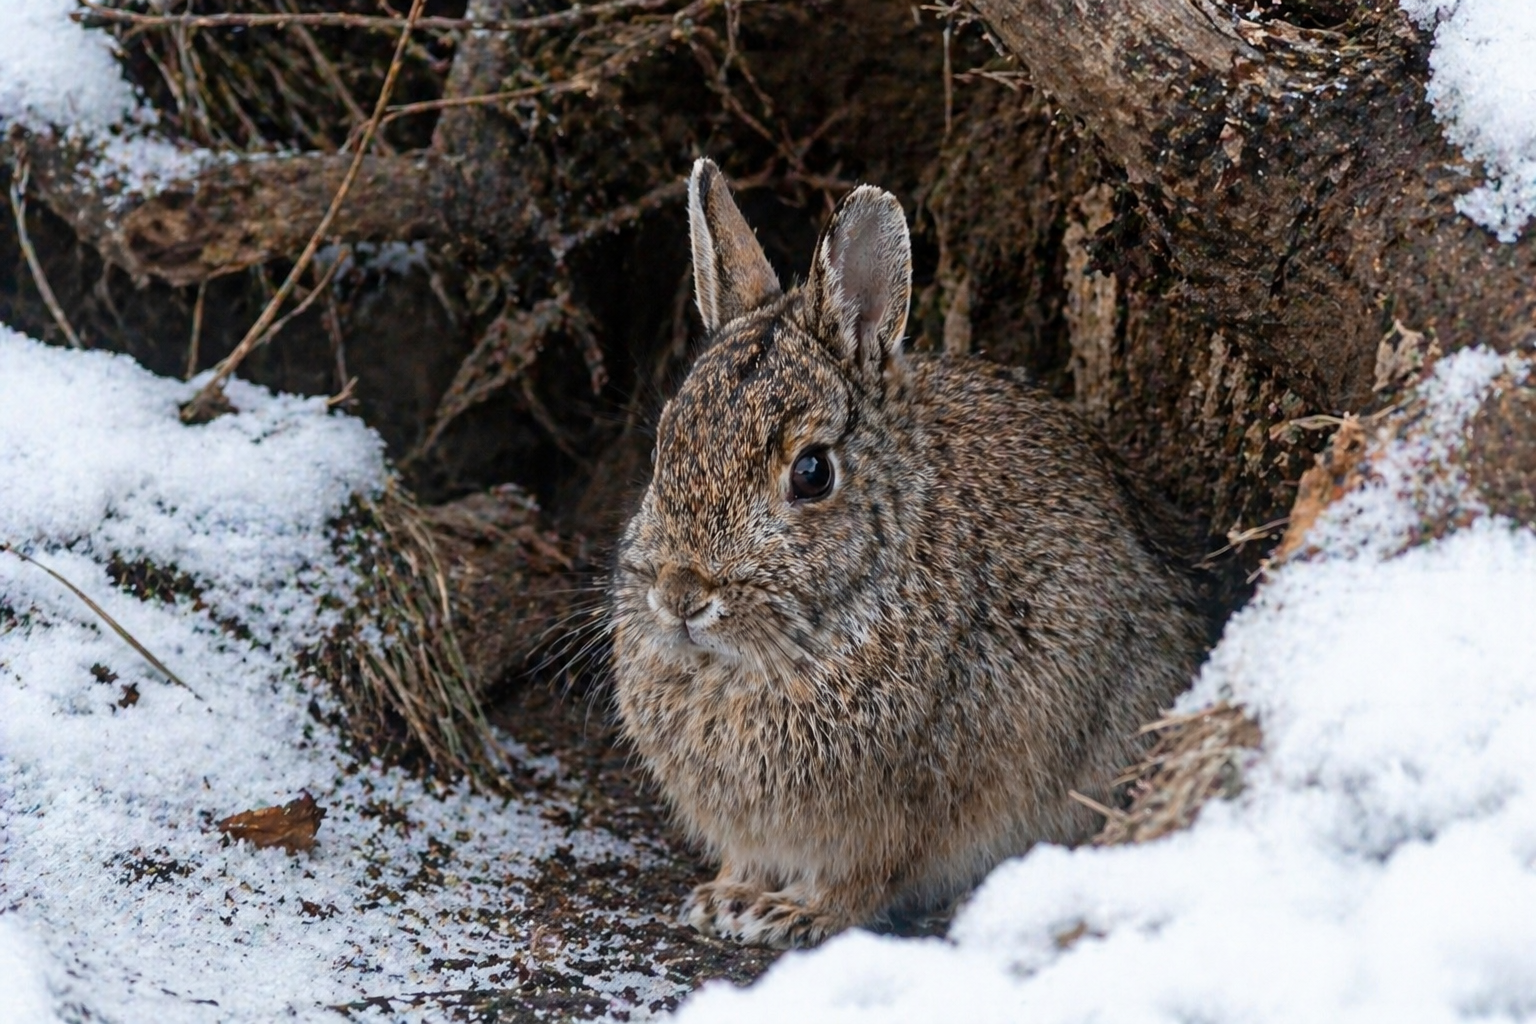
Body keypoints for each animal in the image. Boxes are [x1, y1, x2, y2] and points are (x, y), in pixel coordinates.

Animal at [609, 158, 1207, 949]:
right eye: (662, 449)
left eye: (812, 473)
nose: (681, 595)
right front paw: (724, 897)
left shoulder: (893, 815)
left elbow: (861, 881)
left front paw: (788, 915)